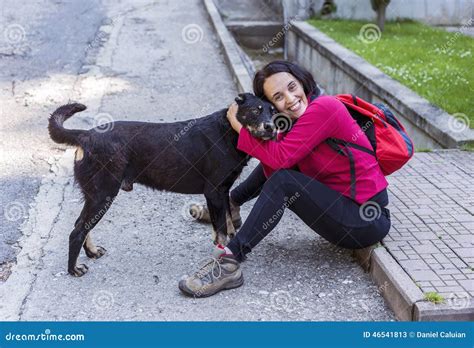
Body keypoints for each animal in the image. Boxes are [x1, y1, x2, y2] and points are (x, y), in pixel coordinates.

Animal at [47, 93, 278, 278]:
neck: (229, 129)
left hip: (95, 195)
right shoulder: (214, 192)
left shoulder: (224, 192)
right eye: (255, 111)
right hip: (103, 194)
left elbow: (230, 226)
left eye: (274, 113)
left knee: (81, 224)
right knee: (77, 230)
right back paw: (73, 269)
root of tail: (86, 135)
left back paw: (92, 252)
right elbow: (221, 232)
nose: (271, 128)